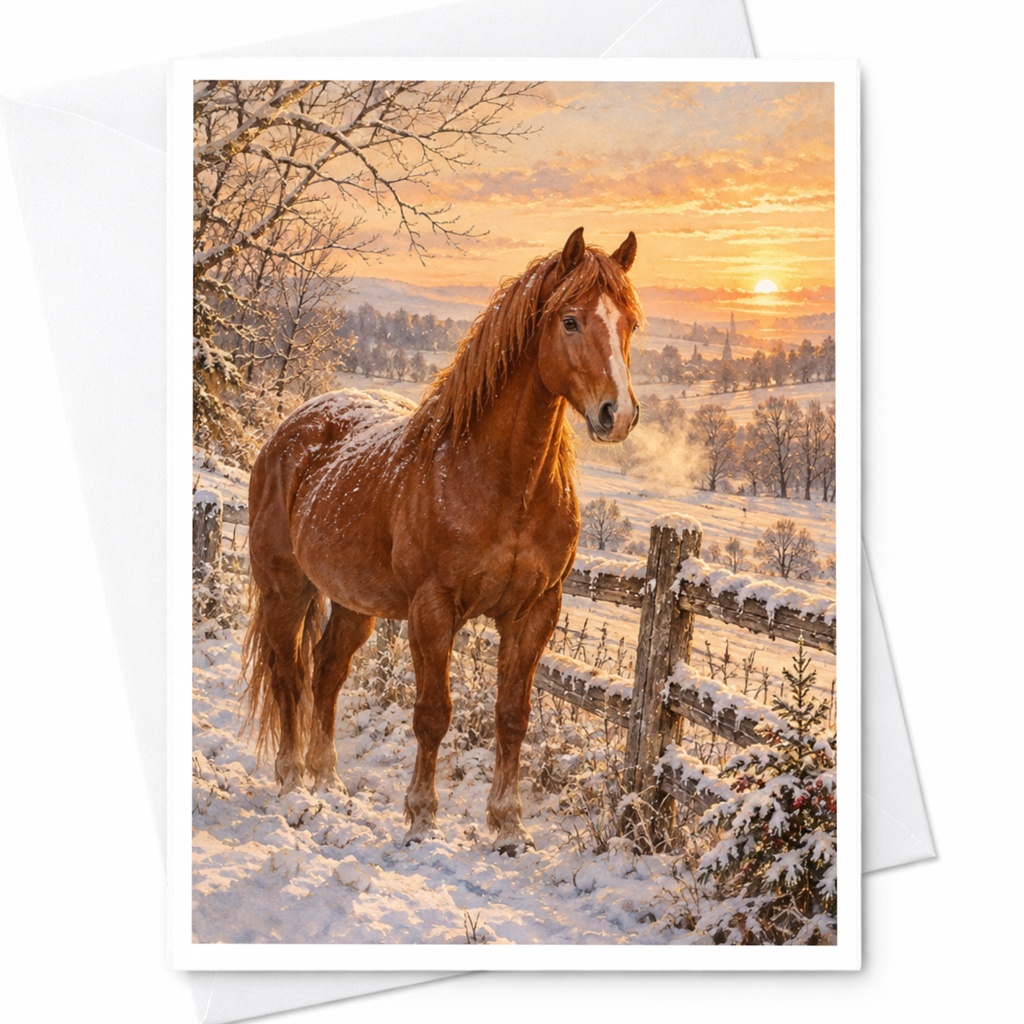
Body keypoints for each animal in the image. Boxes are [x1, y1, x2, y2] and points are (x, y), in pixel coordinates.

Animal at [242, 227, 644, 855]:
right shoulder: (433, 610)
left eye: (629, 322)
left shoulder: (535, 612)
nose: (617, 414)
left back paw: (327, 779)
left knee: (327, 673)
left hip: (355, 604)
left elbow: (513, 716)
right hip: (286, 590)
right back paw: (291, 783)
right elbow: (433, 712)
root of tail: (293, 427)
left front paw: (509, 826)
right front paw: (422, 818)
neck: (501, 482)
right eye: (570, 321)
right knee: (290, 676)